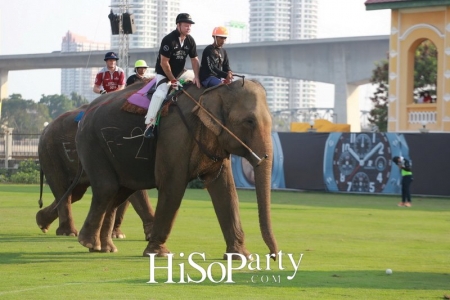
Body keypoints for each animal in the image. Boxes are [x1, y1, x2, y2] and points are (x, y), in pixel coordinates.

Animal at [36, 104, 155, 240]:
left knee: (74, 193)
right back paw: (68, 232)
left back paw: (41, 221)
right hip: (51, 153)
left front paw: (117, 235)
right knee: (62, 188)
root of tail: (45, 128)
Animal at [67, 79, 278, 258]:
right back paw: (89, 243)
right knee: (107, 188)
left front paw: (241, 256)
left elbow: (226, 190)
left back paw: (105, 248)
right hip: (91, 143)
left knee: (119, 193)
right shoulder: (174, 135)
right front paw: (158, 253)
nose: (272, 256)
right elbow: (173, 186)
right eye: (249, 121)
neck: (213, 90)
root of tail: (85, 112)